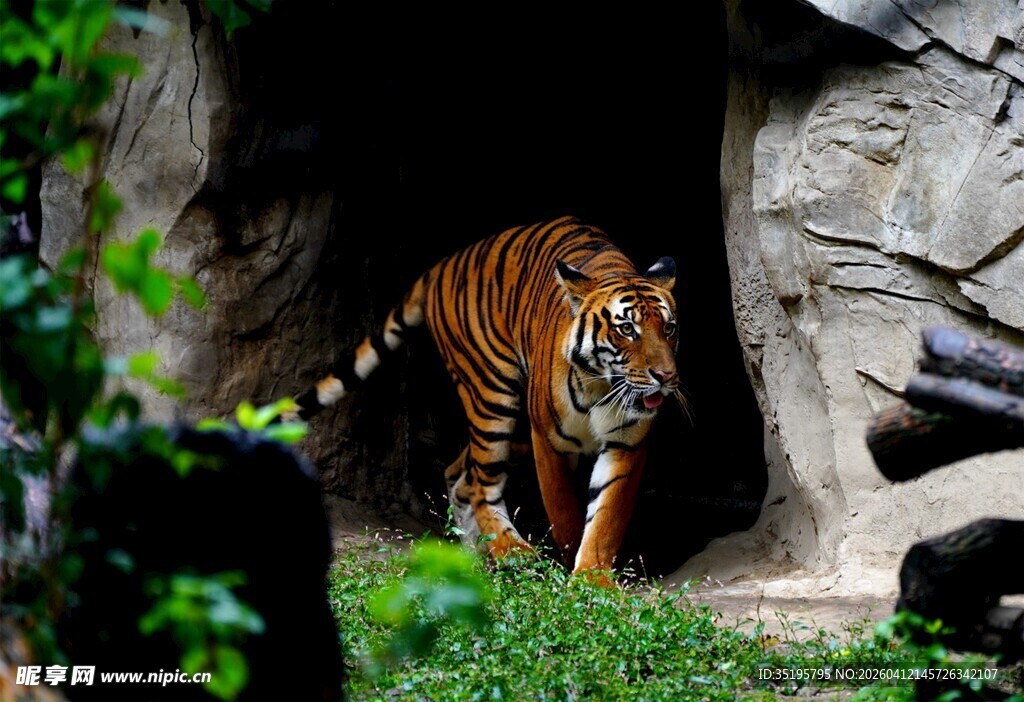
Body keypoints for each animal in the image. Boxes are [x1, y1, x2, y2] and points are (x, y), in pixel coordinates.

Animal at [292, 215, 680, 578]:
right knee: (481, 483)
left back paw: (476, 552)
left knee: (460, 473)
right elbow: (564, 512)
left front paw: (593, 580)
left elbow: (606, 517)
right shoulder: (548, 440)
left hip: (513, 431)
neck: (602, 385)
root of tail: (444, 263)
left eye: (669, 328)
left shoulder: (626, 443)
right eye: (626, 329)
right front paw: (571, 564)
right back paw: (512, 551)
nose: (665, 377)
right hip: (492, 396)